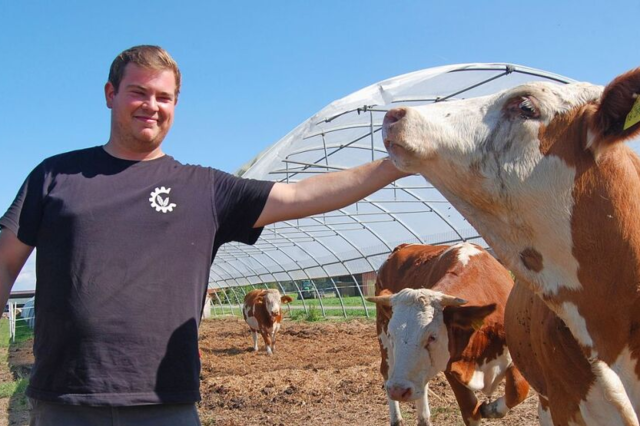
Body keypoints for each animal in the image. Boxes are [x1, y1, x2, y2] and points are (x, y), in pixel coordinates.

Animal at [368, 243, 528, 426]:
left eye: (432, 337)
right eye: (393, 335)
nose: (397, 390)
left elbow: (518, 390)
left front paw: (491, 409)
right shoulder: (450, 366)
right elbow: (471, 411)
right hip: (384, 343)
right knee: (387, 372)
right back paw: (397, 419)